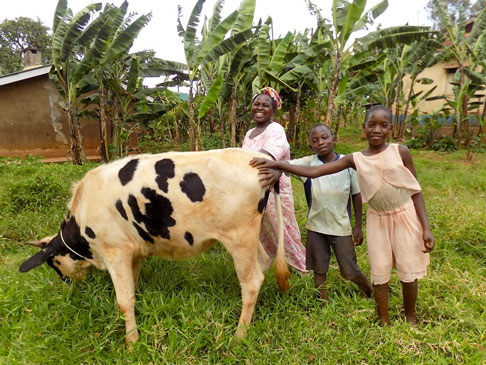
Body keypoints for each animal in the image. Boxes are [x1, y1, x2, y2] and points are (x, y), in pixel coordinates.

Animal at [19, 148, 290, 344]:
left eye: (54, 263)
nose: (67, 284)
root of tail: (258, 156)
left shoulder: (115, 251)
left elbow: (124, 299)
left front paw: (131, 343)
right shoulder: (132, 252)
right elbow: (132, 289)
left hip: (239, 236)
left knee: (252, 281)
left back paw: (239, 335)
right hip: (251, 235)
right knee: (263, 261)